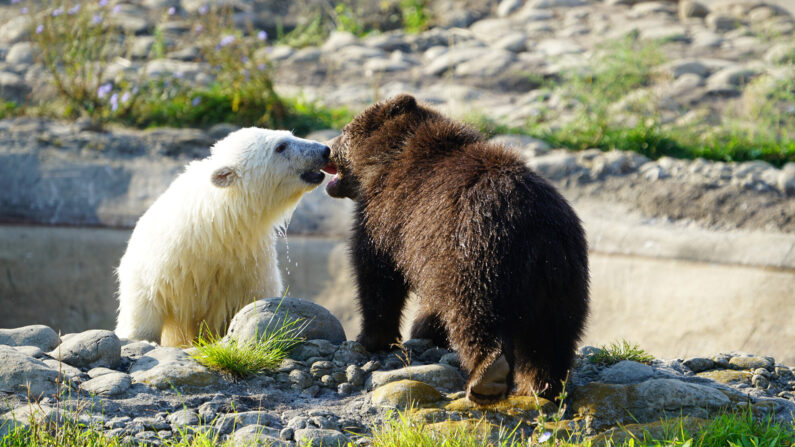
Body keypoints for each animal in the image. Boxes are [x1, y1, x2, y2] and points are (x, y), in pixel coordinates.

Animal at [115, 128, 332, 348]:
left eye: (291, 134)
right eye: (280, 146)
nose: (325, 150)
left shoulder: (251, 264)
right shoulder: (162, 266)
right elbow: (144, 308)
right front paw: (142, 339)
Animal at [324, 93, 592, 402]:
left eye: (344, 130)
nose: (325, 147)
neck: (384, 161)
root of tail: (538, 233)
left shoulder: (388, 217)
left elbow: (377, 275)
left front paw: (372, 337)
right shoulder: (425, 252)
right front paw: (425, 330)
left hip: (477, 256)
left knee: (475, 314)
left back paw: (486, 378)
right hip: (564, 278)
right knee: (553, 336)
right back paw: (541, 385)